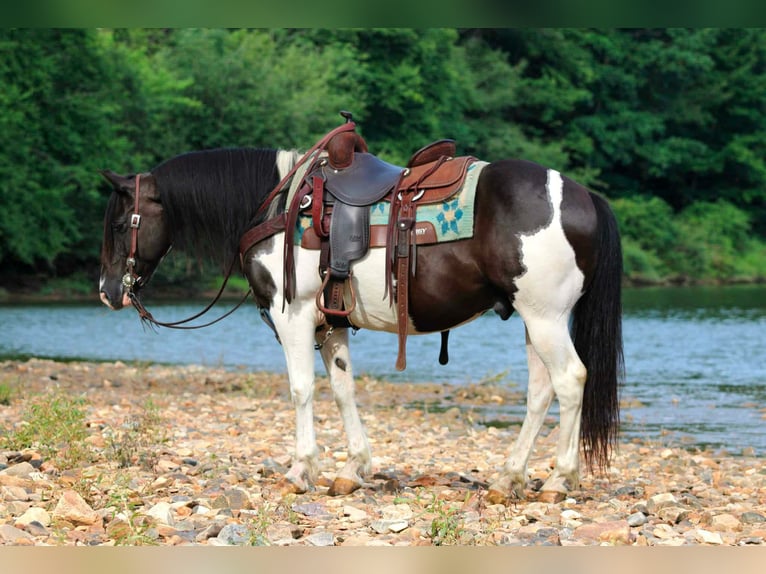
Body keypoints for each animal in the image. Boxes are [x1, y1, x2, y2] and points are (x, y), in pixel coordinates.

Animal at [98, 131, 624, 505]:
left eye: (122, 224)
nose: (107, 292)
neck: (279, 207)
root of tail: (584, 197)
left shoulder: (293, 315)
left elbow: (302, 390)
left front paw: (300, 470)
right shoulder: (330, 325)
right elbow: (343, 389)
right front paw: (351, 470)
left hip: (546, 318)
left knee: (570, 380)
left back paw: (559, 480)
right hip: (535, 321)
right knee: (540, 392)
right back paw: (508, 478)